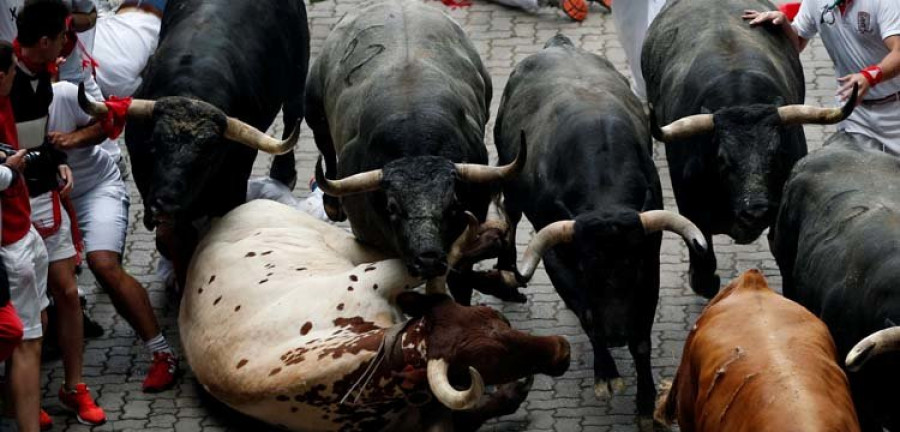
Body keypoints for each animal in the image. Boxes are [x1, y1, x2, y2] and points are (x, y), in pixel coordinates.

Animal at [99, 0, 310, 286]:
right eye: (154, 146)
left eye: (208, 157)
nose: (165, 205)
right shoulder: (144, 178)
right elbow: (176, 239)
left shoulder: (235, 180)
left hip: (299, 73)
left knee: (292, 113)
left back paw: (284, 173)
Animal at [306, 0, 524, 298]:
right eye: (392, 206)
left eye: (453, 204)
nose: (428, 259)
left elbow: (460, 279)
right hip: (313, 108)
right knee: (325, 145)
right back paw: (331, 205)